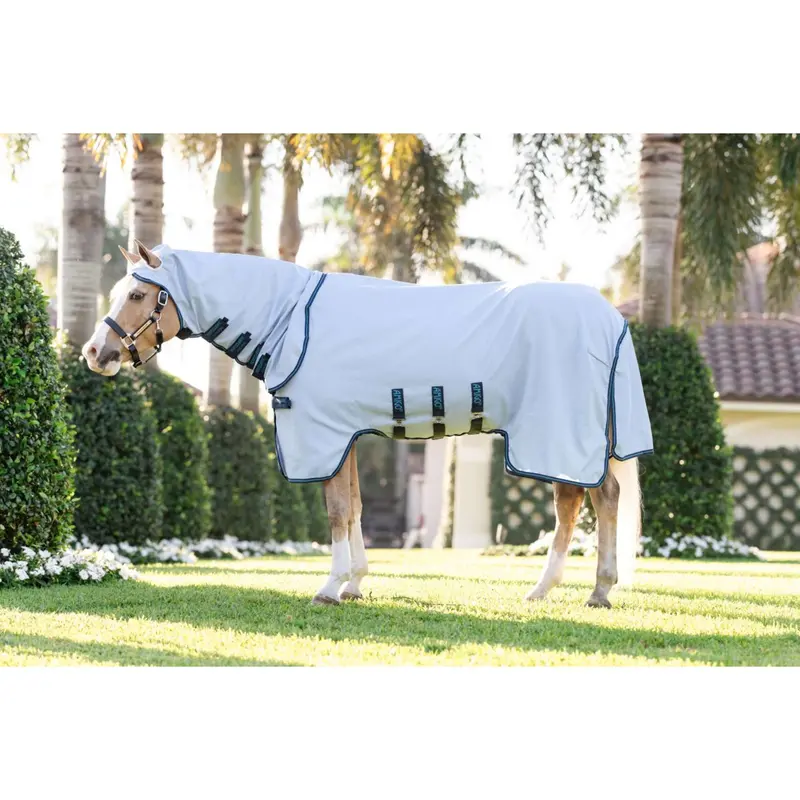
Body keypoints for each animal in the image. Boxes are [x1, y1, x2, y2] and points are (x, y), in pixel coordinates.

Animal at [82, 239, 653, 609]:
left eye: (137, 295)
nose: (94, 353)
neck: (292, 319)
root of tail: (610, 318)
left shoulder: (324, 435)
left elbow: (336, 512)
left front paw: (329, 589)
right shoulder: (347, 436)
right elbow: (354, 507)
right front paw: (355, 583)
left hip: (556, 432)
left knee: (582, 503)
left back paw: (579, 590)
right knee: (592, 501)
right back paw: (574, 590)